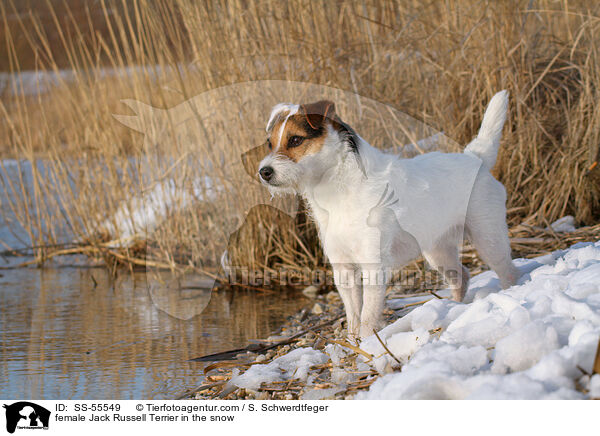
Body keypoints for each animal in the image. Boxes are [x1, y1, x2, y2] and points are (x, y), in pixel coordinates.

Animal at [258, 90, 520, 338]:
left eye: (295, 140)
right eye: (270, 144)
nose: (264, 172)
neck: (339, 188)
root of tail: (476, 158)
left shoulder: (373, 266)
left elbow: (367, 314)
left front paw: (368, 342)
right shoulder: (343, 269)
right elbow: (353, 314)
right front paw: (353, 342)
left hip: (488, 238)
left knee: (507, 271)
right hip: (438, 251)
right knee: (462, 276)